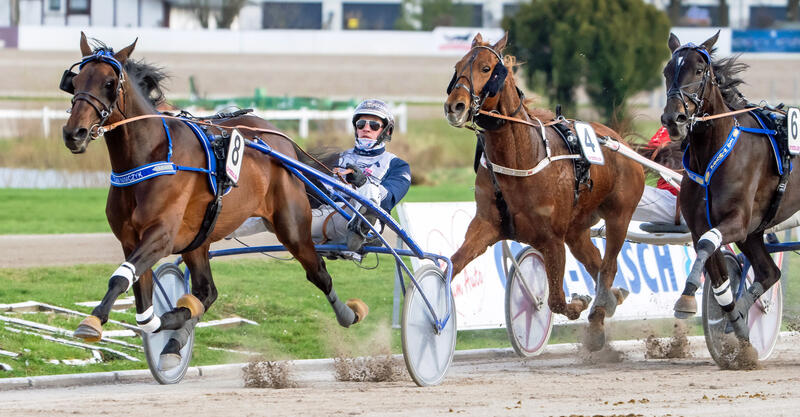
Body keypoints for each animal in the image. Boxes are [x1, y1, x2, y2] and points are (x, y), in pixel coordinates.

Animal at [61, 34, 368, 368]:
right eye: (75, 81)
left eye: (109, 82)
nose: (74, 133)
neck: (150, 156)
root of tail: (279, 137)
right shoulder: (131, 240)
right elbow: (145, 309)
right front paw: (171, 321)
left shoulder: (160, 236)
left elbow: (120, 278)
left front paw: (92, 321)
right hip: (199, 239)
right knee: (207, 292)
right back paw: (176, 337)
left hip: (292, 226)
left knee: (318, 272)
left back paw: (349, 313)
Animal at [440, 33, 648, 352]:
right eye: (457, 66)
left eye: (486, 68)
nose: (455, 106)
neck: (521, 158)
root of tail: (619, 140)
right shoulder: (486, 225)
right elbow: (456, 261)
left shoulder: (552, 239)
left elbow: (556, 301)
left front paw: (579, 302)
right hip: (577, 230)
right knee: (596, 264)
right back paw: (610, 303)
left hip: (619, 218)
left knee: (608, 266)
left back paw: (599, 311)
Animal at [664, 30, 800, 344]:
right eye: (667, 71)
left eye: (698, 70)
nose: (673, 119)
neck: (712, 155)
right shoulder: (702, 225)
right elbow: (716, 273)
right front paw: (734, 322)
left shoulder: (737, 222)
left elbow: (708, 244)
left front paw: (687, 295)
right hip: (754, 234)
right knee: (769, 273)